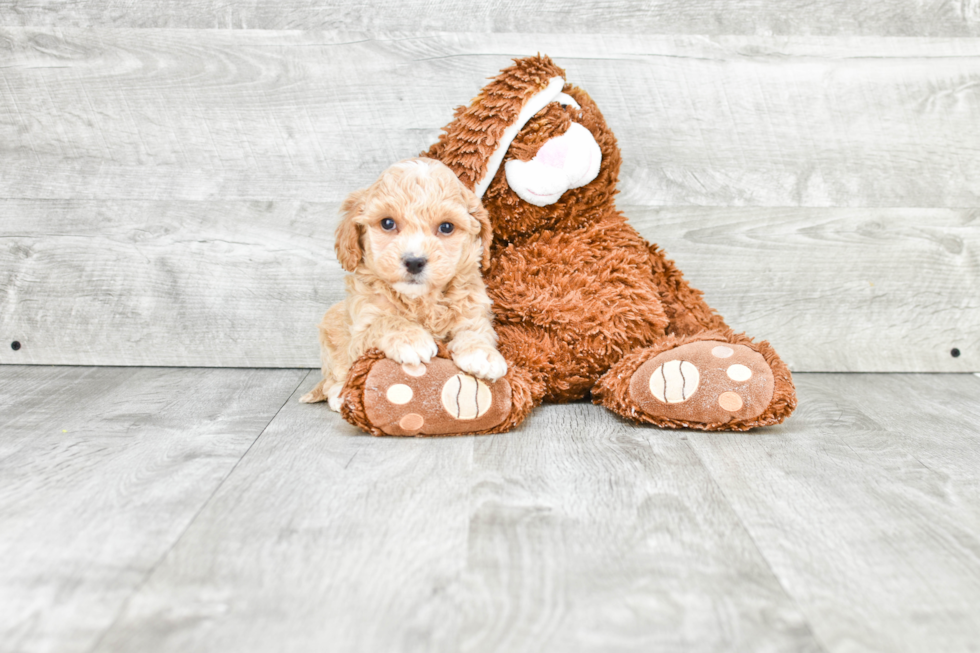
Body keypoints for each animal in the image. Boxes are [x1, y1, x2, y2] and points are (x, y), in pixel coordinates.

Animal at [302, 157, 510, 408]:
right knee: (333, 379)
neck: (421, 300)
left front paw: (483, 354)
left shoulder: (472, 310)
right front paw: (411, 339)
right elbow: (386, 322)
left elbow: (475, 331)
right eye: (387, 223)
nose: (414, 261)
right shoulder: (360, 329)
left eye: (446, 227)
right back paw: (340, 396)